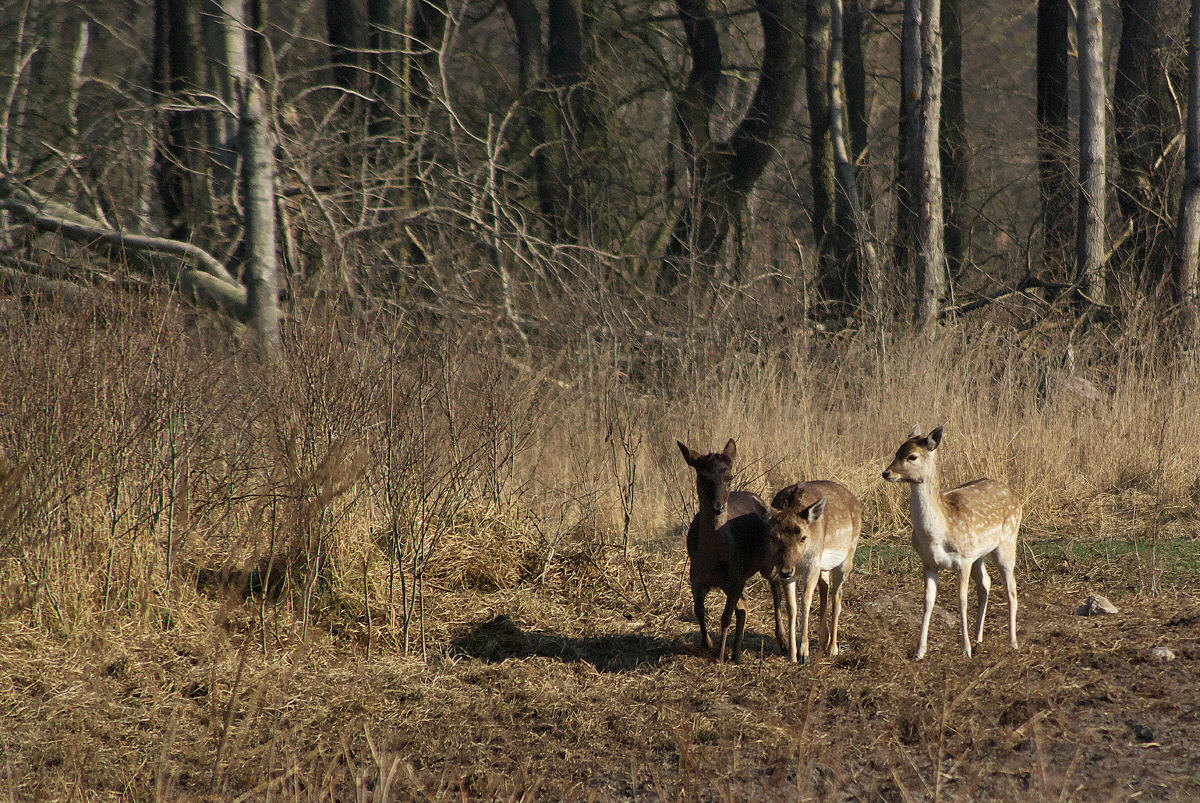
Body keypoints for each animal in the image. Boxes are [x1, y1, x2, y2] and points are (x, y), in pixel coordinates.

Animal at [681, 441, 782, 662]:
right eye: (702, 476)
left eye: (729, 477)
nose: (718, 507)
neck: (713, 557)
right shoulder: (696, 576)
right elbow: (698, 609)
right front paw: (708, 644)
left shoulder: (737, 577)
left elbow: (725, 617)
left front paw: (719, 655)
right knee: (744, 606)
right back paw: (736, 653)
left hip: (766, 561)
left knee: (776, 584)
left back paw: (783, 641)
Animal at [768, 480, 864, 662]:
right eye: (774, 537)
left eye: (803, 538)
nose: (786, 570)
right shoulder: (785, 570)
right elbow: (791, 605)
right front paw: (792, 654)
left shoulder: (812, 563)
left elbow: (806, 600)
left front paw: (804, 653)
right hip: (823, 565)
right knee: (825, 587)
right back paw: (823, 642)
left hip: (848, 555)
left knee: (837, 596)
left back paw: (833, 648)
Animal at [883, 424, 1022, 657]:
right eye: (896, 452)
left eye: (912, 456)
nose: (886, 472)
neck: (939, 533)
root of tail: (1014, 494)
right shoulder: (928, 562)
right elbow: (927, 601)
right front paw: (919, 651)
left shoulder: (963, 558)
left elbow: (961, 600)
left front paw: (965, 650)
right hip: (979, 554)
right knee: (985, 583)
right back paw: (978, 636)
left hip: (1007, 540)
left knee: (1010, 587)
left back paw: (1012, 641)